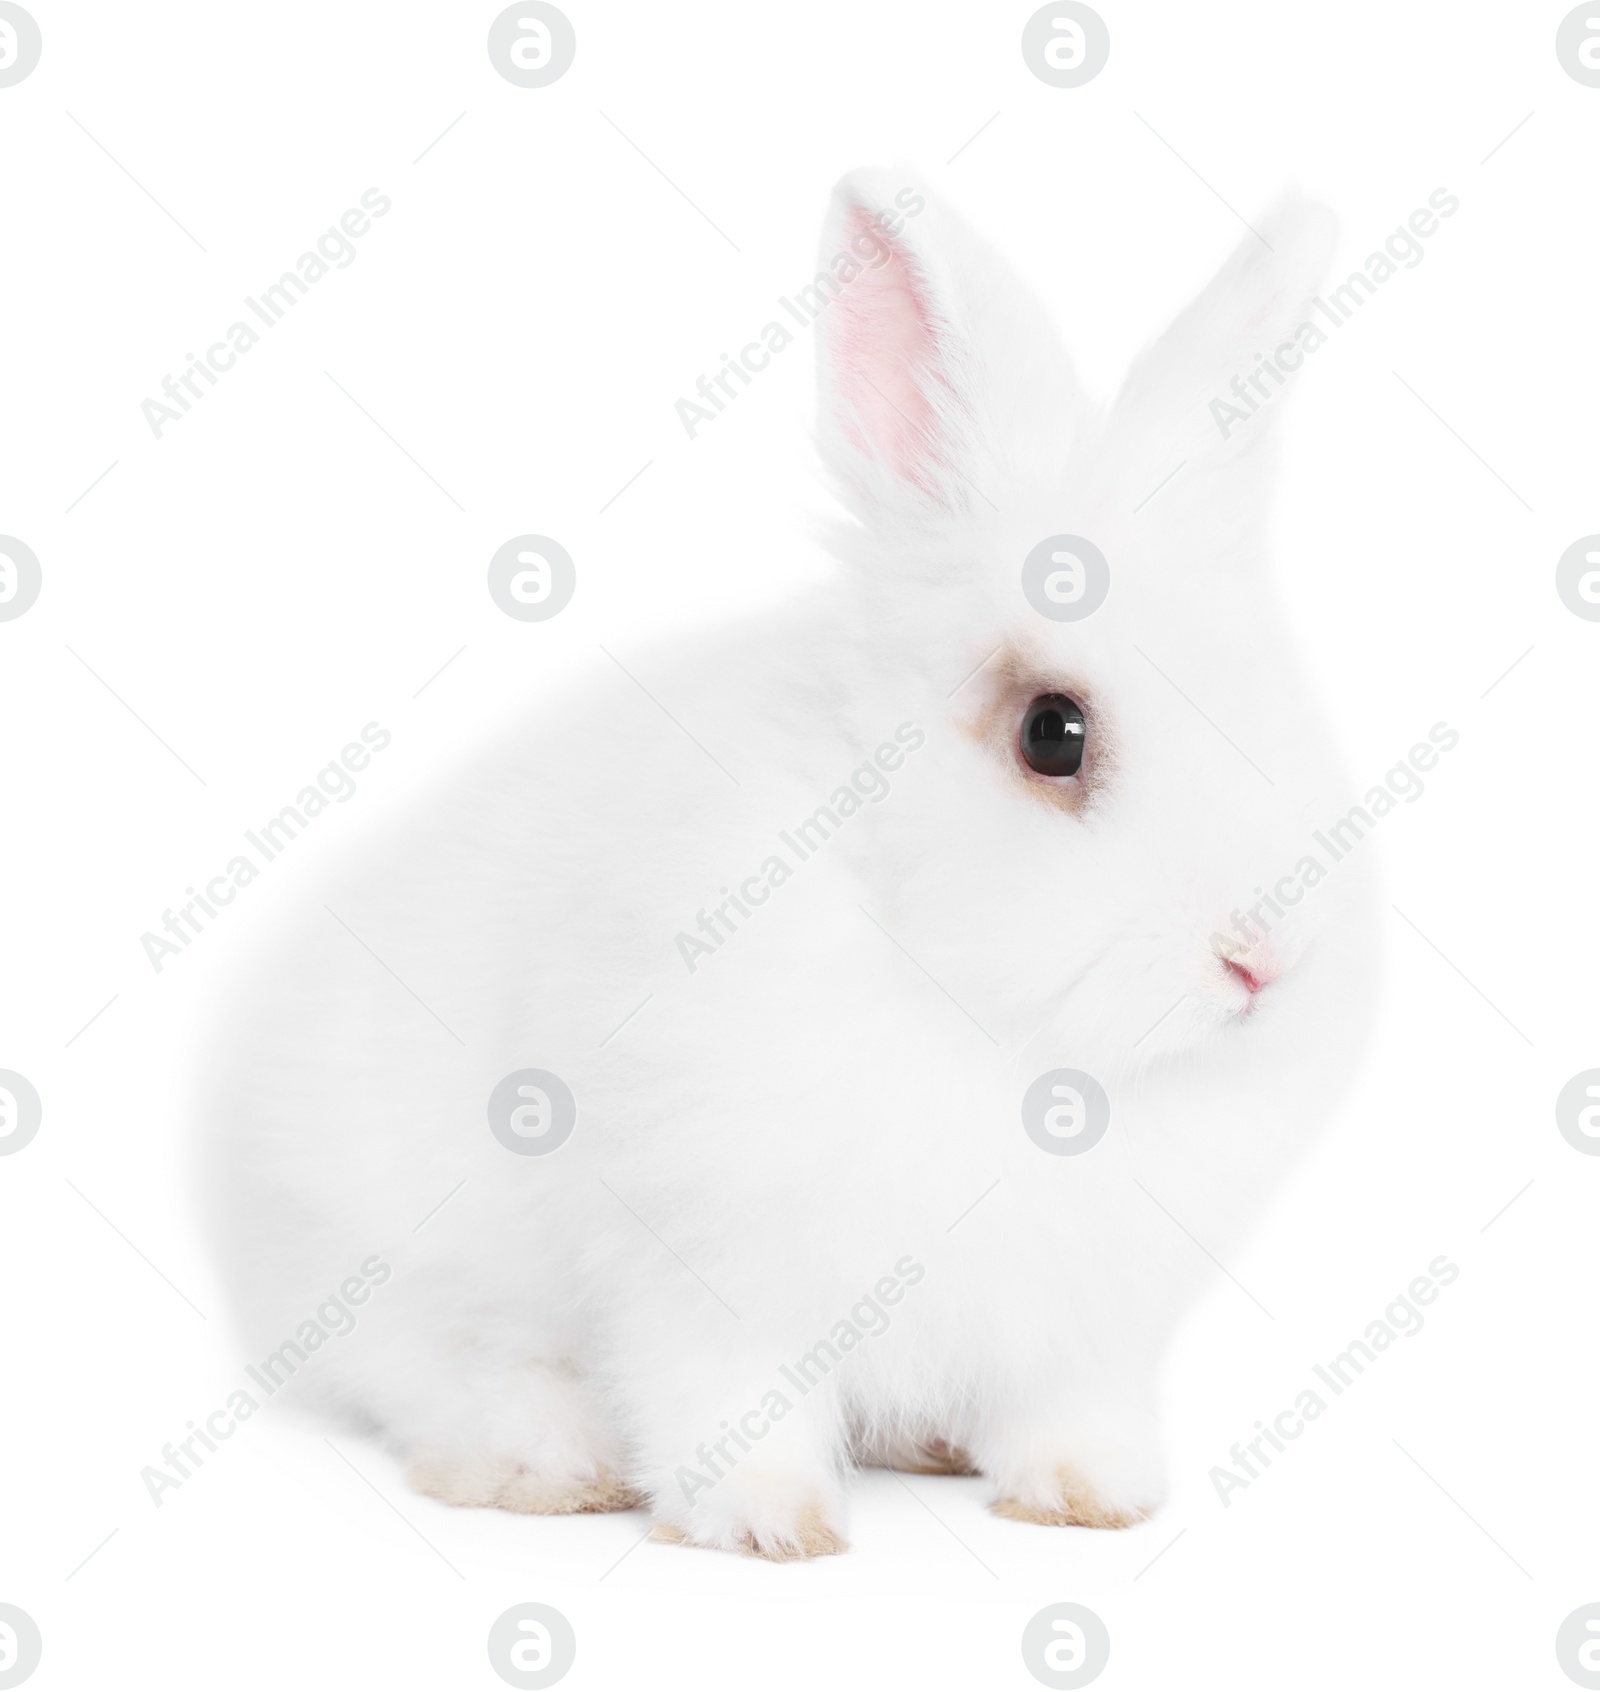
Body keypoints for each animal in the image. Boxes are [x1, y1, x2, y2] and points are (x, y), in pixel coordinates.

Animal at [199, 171, 1373, 1556]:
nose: (1264, 961)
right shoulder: (704, 1265)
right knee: (433, 1369)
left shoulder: (1079, 1327)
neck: (1000, 1036)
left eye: (1287, 696)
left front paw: (1093, 1500)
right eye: (1053, 731)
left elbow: (1066, 1411)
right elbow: (722, 1401)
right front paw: (766, 1527)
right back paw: (551, 1464)